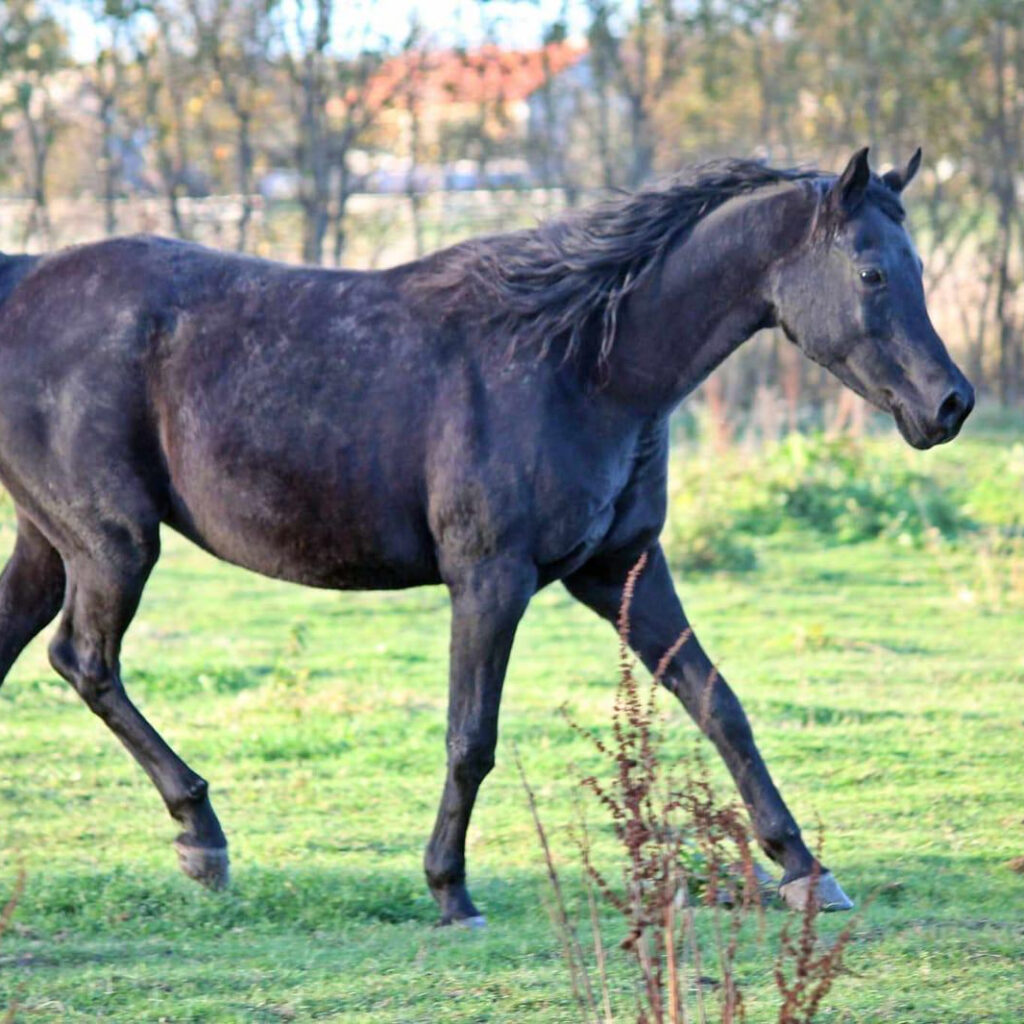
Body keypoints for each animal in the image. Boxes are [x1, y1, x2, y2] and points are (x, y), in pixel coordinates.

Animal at [0, 148, 973, 926]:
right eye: (873, 274)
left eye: (920, 267)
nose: (950, 404)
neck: (581, 366)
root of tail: (23, 279)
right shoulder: (491, 579)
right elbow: (472, 737)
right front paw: (449, 889)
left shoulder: (622, 568)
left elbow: (716, 703)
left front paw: (806, 868)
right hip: (114, 542)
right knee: (84, 661)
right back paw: (202, 837)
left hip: (52, 543)